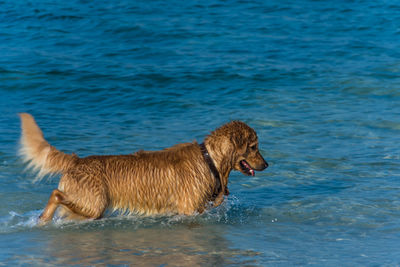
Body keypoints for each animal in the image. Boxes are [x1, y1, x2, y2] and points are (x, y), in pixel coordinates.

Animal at [18, 113, 268, 224]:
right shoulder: (188, 210)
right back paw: (44, 217)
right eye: (254, 147)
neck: (210, 159)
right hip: (94, 203)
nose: (267, 164)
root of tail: (76, 160)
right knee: (56, 194)